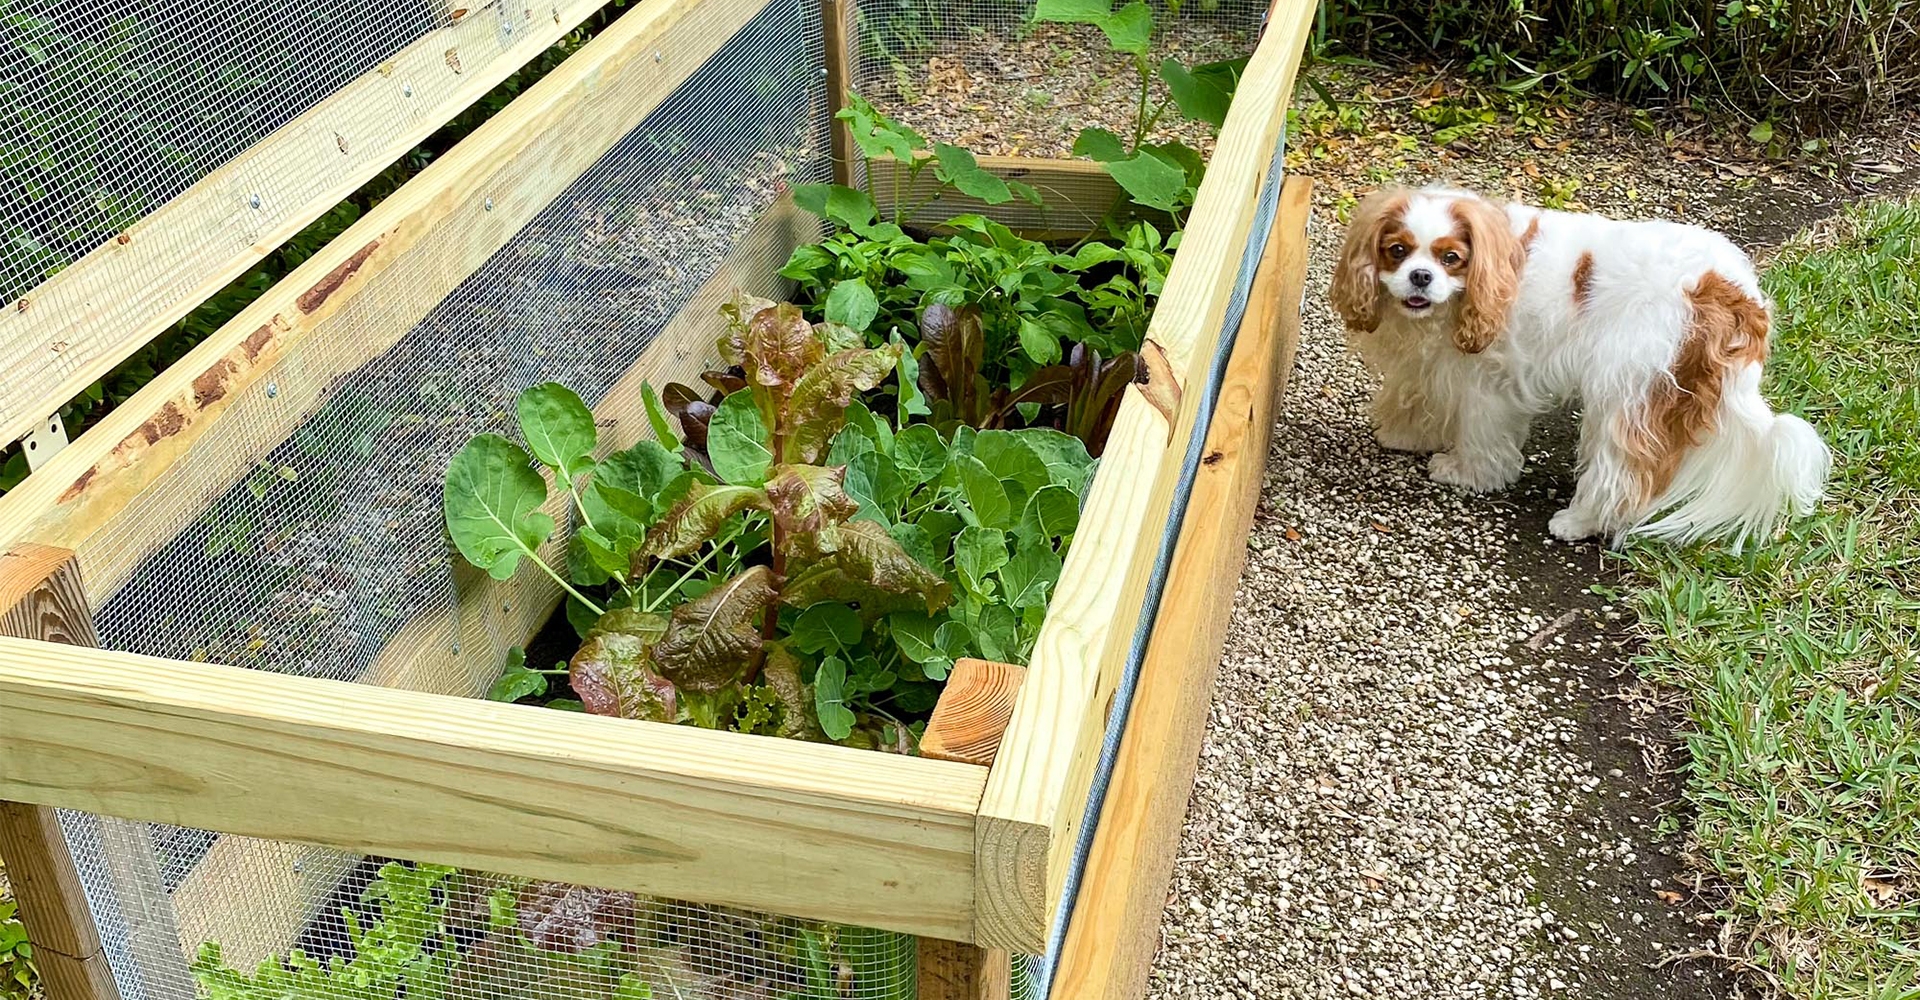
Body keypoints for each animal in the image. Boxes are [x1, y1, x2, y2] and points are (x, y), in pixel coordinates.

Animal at [1336, 187, 1827, 545]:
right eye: (1397, 251)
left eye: (1450, 258)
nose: (1421, 277)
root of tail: (1731, 291)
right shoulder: (1435, 363)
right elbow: (1424, 397)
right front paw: (1407, 434)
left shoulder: (1488, 379)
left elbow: (1479, 431)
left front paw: (1468, 473)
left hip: (1627, 386)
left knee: (1624, 472)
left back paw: (1579, 522)